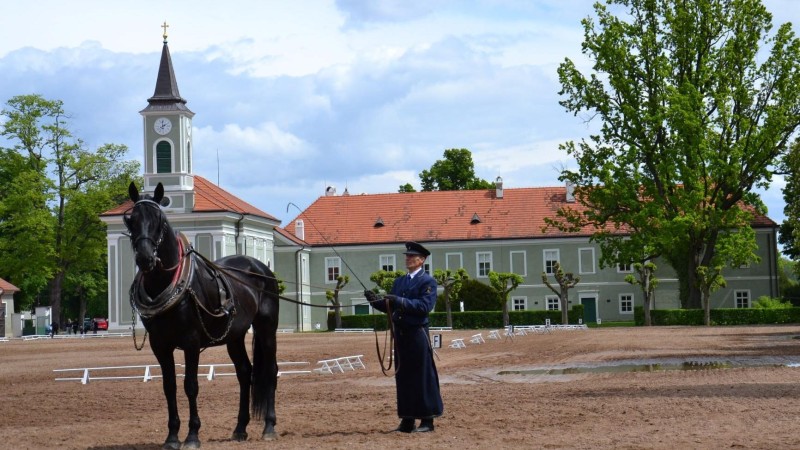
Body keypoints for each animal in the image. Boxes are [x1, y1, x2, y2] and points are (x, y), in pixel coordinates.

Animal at [126, 181, 282, 448]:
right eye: (131, 220)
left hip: (266, 329)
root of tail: (261, 268)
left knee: (270, 371)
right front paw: (172, 435)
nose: (145, 258)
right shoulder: (160, 345)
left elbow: (191, 385)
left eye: (159, 220)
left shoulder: (191, 342)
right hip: (234, 336)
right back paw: (240, 428)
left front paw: (192, 435)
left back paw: (269, 426)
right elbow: (169, 386)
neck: (168, 282)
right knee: (245, 373)